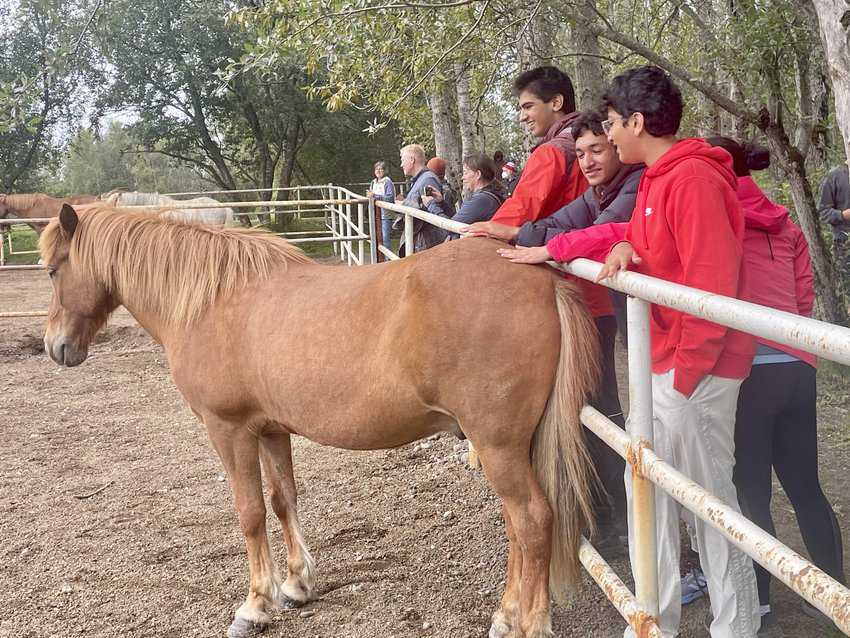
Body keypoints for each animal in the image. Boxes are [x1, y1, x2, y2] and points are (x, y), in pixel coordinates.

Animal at [38, 204, 596, 638]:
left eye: (51, 270)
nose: (55, 347)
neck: (211, 301)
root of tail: (541, 280)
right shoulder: (269, 429)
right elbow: (283, 500)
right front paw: (295, 584)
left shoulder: (228, 430)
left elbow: (249, 513)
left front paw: (254, 606)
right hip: (509, 447)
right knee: (517, 526)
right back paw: (506, 615)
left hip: (498, 445)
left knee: (533, 521)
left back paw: (530, 622)